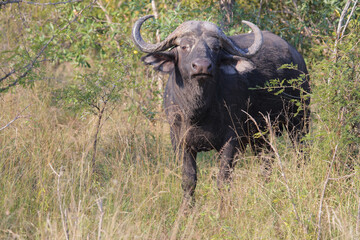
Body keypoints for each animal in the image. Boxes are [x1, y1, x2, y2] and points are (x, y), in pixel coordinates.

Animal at [132, 15, 310, 202]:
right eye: (184, 46)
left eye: (216, 47)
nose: (202, 66)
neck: (198, 112)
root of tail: (297, 57)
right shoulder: (180, 141)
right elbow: (188, 180)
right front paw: (186, 209)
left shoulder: (231, 140)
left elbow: (224, 179)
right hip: (261, 135)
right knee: (266, 161)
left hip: (300, 121)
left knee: (301, 152)